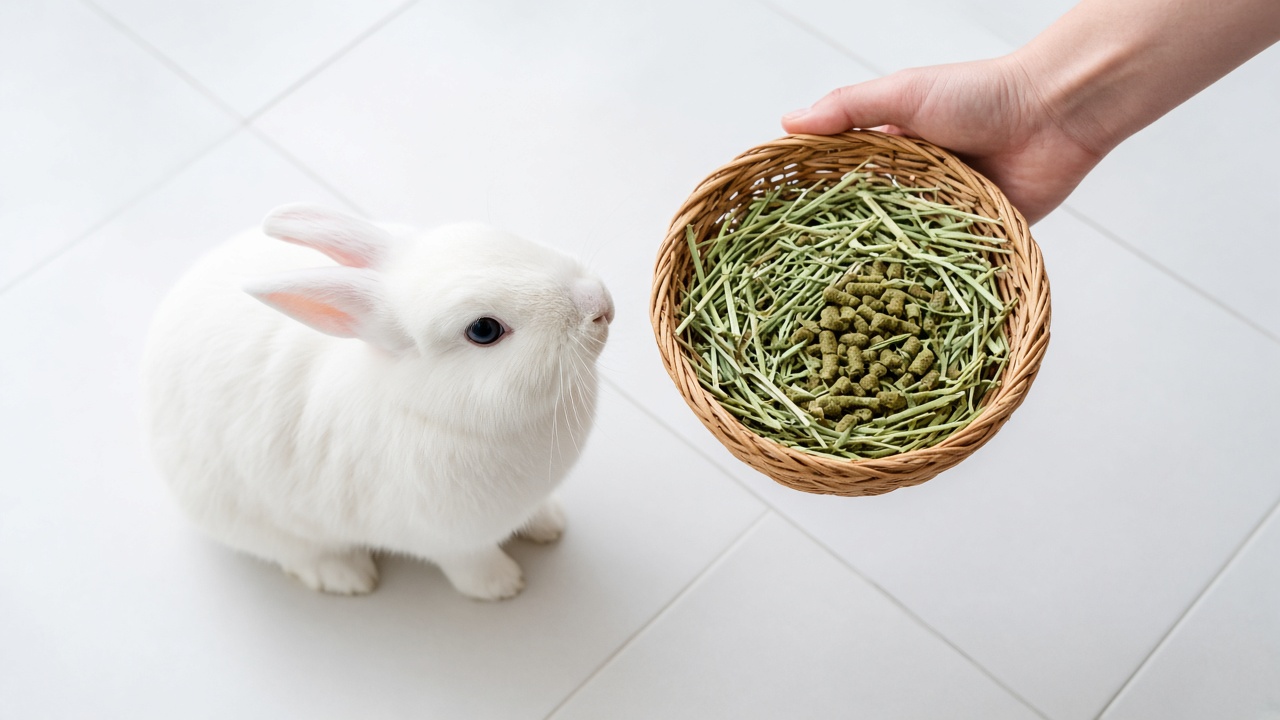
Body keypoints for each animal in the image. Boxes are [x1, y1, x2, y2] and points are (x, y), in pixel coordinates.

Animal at [141, 203, 612, 600]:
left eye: (506, 240)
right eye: (483, 330)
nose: (600, 304)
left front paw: (551, 524)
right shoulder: (448, 538)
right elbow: (471, 563)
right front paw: (502, 586)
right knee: (297, 552)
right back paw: (346, 576)